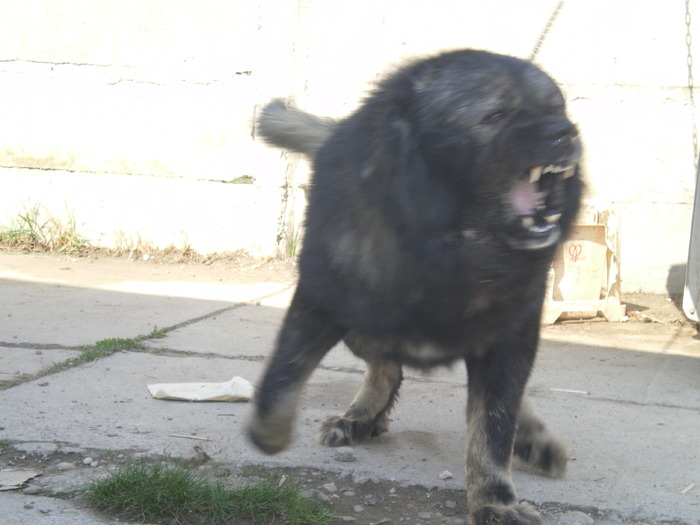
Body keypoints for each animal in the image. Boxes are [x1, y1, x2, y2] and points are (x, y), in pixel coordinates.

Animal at [249, 50, 584, 524]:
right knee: (386, 368)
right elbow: (282, 376)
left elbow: (494, 424)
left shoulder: (510, 334)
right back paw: (359, 418)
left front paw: (495, 500)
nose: (565, 132)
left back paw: (533, 440)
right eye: (495, 114)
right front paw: (270, 434)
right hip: (360, 328)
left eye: (557, 109)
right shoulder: (320, 299)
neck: (445, 250)